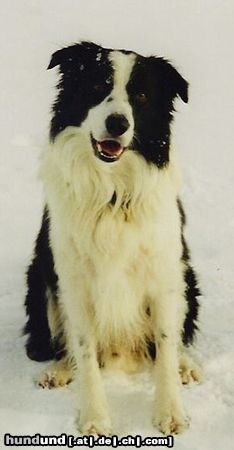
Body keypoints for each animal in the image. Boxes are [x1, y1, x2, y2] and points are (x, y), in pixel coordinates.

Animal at [24, 42, 202, 436]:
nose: (118, 123)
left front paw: (170, 412)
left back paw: (186, 365)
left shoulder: (163, 273)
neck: (113, 193)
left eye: (141, 96)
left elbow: (166, 342)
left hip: (187, 276)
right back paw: (59, 370)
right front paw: (95, 418)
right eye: (97, 87)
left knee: (174, 341)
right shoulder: (73, 279)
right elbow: (84, 347)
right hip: (40, 276)